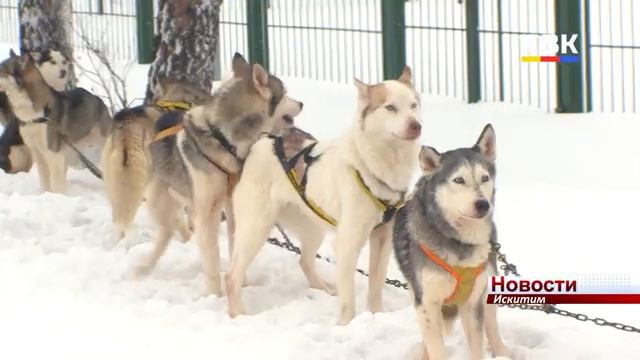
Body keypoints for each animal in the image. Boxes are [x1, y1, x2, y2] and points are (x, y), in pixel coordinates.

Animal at [0, 51, 112, 193]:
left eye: (2, 70)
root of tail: (100, 101)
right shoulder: (37, 153)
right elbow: (45, 182)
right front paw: (46, 195)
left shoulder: (53, 153)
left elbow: (56, 184)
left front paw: (58, 196)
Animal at [134, 52, 304, 296]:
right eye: (285, 92)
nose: (301, 103)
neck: (226, 142)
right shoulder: (207, 213)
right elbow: (212, 257)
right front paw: (215, 295)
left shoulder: (232, 208)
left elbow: (234, 247)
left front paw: (244, 284)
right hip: (161, 203)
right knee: (165, 233)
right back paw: (144, 266)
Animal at [228, 66, 422, 324]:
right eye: (390, 107)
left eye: (413, 105)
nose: (416, 125)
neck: (374, 166)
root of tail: (263, 140)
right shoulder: (348, 243)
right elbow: (348, 299)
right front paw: (346, 325)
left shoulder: (382, 238)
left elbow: (376, 284)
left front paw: (375, 315)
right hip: (256, 228)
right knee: (232, 275)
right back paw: (237, 314)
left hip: (312, 228)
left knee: (304, 260)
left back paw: (322, 288)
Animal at [390, 124, 510, 360]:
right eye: (458, 180)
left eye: (484, 178)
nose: (483, 204)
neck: (460, 242)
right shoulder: (427, 304)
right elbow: (436, 348)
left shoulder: (472, 303)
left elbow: (477, 346)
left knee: (492, 324)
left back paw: (503, 351)